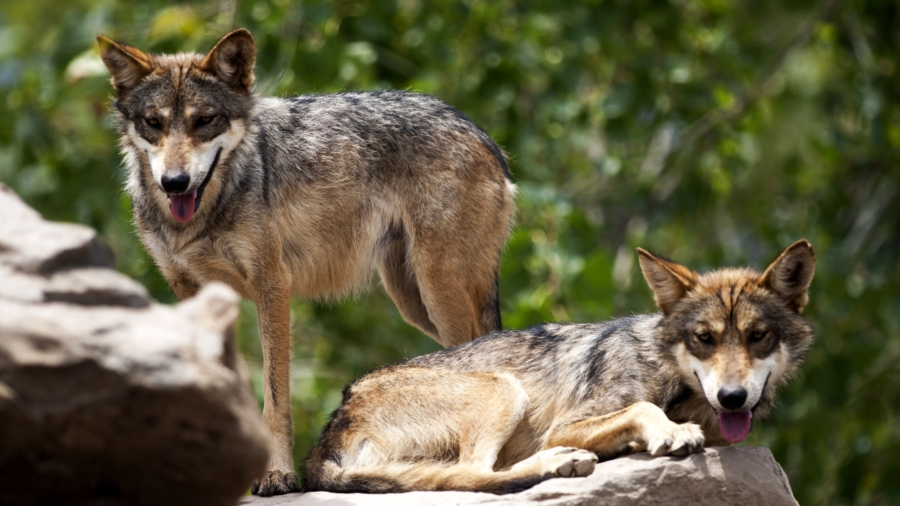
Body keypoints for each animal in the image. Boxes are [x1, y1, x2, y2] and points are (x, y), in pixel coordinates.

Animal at [304, 241, 816, 494]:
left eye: (757, 337)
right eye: (704, 339)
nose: (732, 398)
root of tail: (326, 437)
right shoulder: (566, 424)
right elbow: (643, 409)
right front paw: (668, 432)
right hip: (503, 389)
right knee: (475, 474)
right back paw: (561, 462)